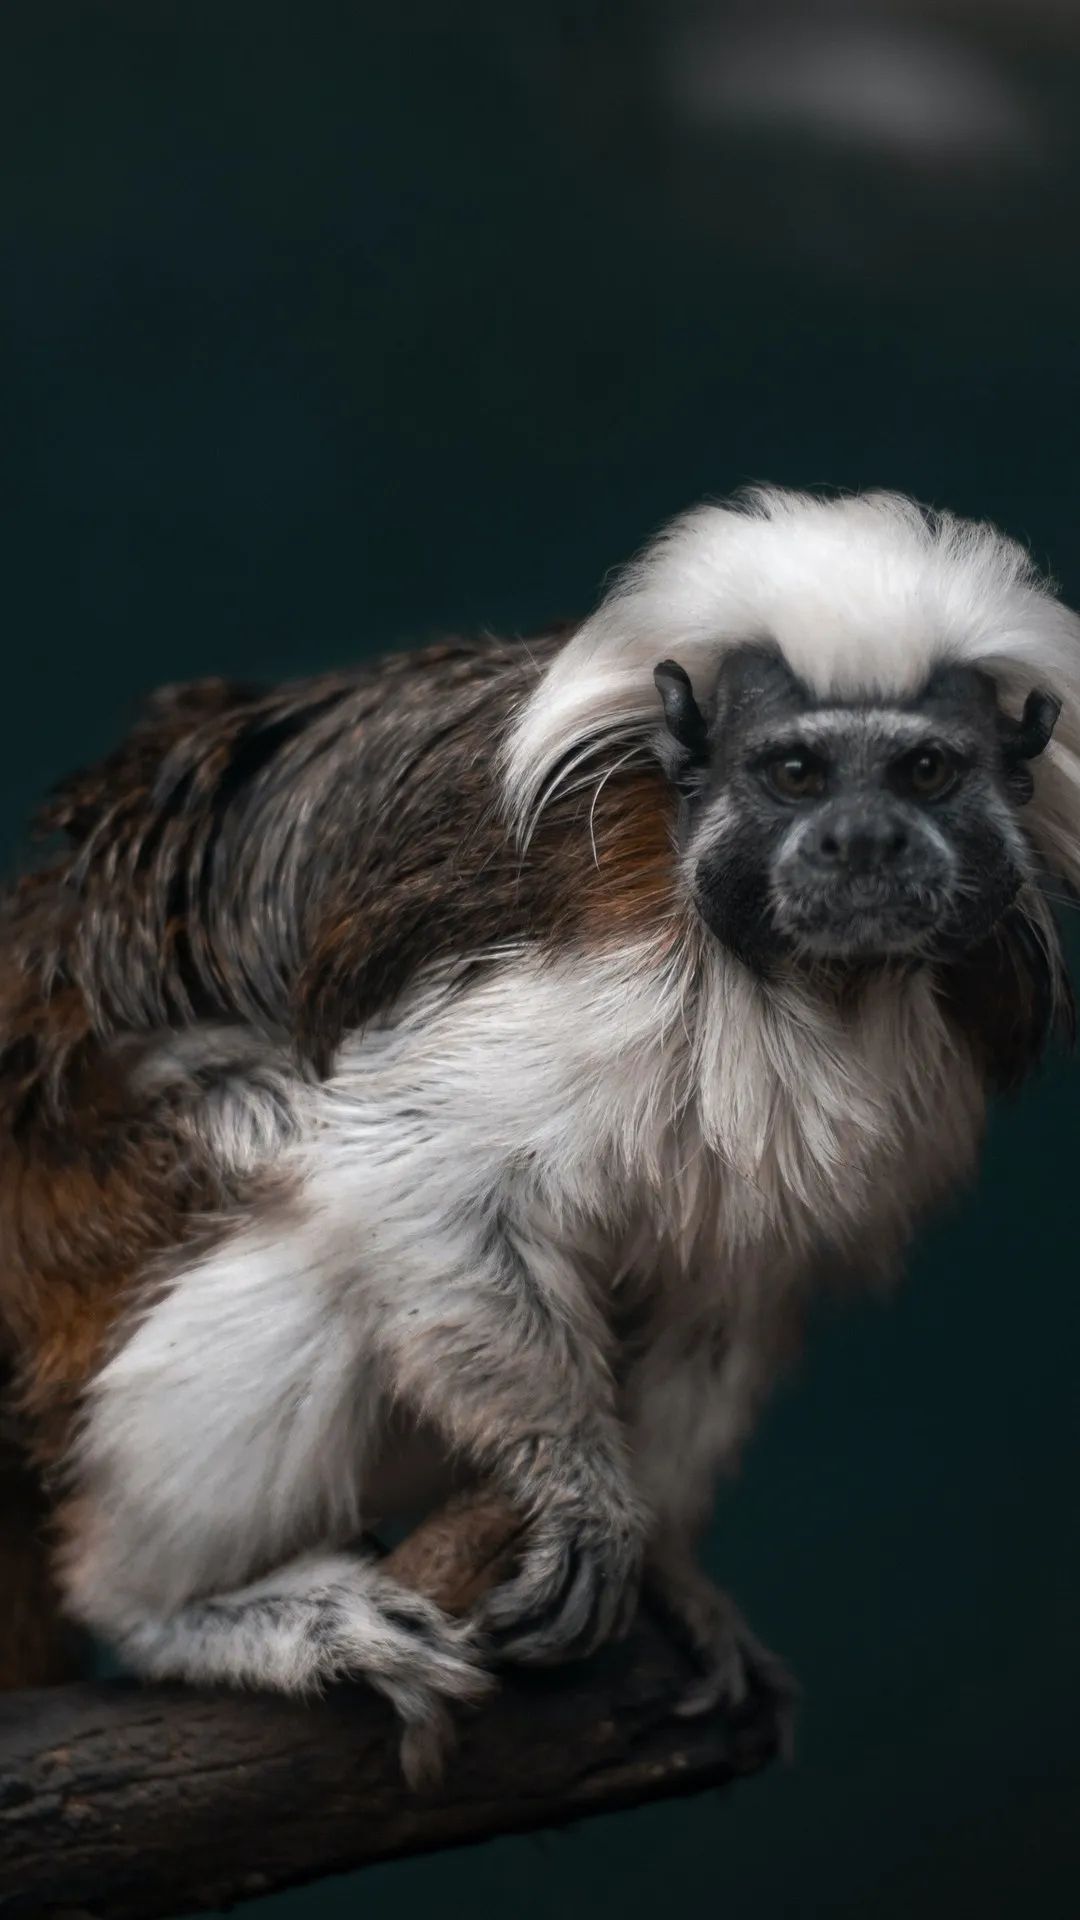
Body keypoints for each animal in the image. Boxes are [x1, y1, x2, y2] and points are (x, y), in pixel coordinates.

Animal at [1, 485, 1078, 1782]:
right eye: (796, 773)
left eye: (925, 771)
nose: (861, 844)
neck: (805, 983)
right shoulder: (586, 970)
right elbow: (412, 1178)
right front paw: (581, 1497)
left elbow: (733, 1292)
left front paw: (665, 1564)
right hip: (85, 1228)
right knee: (280, 1174)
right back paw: (180, 1607)